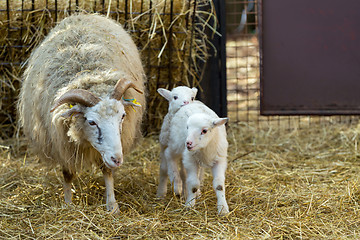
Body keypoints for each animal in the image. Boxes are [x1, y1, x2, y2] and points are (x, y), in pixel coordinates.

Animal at [17, 13, 146, 214]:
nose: (117, 159)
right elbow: (67, 174)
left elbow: (107, 171)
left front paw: (112, 205)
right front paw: (68, 203)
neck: (88, 73)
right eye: (92, 122)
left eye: (123, 116)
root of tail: (82, 14)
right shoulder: (61, 143)